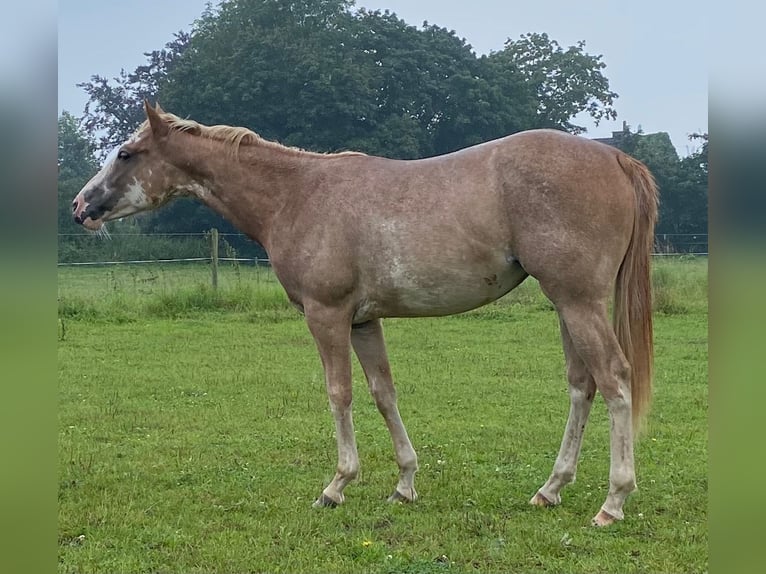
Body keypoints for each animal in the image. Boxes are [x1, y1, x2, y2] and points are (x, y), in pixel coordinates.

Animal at [73, 102, 660, 528]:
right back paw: (551, 489)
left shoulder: (326, 315)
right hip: (566, 303)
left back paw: (613, 501)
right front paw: (404, 485)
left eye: (126, 153)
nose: (81, 207)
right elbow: (383, 393)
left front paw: (336, 486)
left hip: (578, 301)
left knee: (614, 380)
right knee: (582, 385)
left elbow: (340, 394)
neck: (296, 195)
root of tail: (615, 159)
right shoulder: (362, 321)